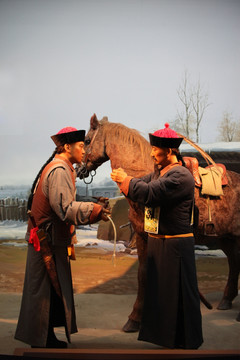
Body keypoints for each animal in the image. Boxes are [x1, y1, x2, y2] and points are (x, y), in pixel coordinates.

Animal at [80, 114, 240, 324]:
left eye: (87, 140)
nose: (79, 169)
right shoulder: (141, 237)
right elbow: (143, 274)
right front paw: (135, 318)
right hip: (226, 238)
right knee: (234, 262)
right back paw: (226, 300)